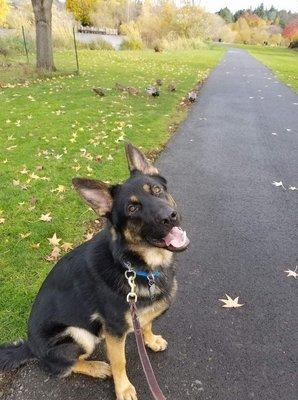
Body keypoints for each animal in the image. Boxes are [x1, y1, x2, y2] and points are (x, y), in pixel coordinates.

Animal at [0, 145, 190, 400]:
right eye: (132, 208)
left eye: (157, 190)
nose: (169, 217)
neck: (133, 266)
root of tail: (30, 347)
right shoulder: (115, 330)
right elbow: (120, 361)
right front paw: (124, 388)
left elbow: (147, 323)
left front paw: (149, 340)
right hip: (79, 334)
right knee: (64, 367)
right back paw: (96, 367)